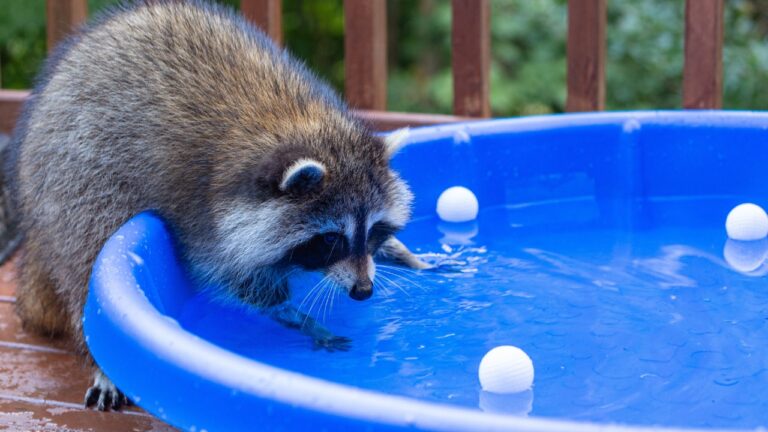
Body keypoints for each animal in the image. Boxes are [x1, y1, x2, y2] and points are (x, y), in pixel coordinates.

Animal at [5, 0, 426, 411]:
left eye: (374, 231)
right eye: (330, 240)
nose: (363, 291)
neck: (297, 122)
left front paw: (398, 253)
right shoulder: (206, 219)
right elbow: (244, 286)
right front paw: (300, 318)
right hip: (72, 177)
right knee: (88, 259)